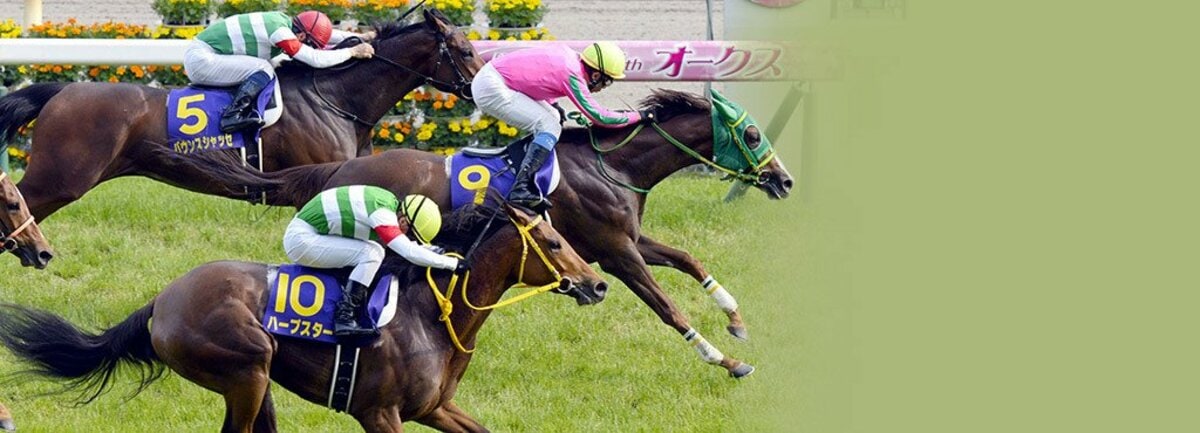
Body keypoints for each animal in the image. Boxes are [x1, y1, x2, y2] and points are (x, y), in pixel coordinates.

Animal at [0, 202, 607, 432]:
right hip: (247, 365)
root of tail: (162, 299)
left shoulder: (434, 408)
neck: (432, 318)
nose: (598, 284)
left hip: (257, 379)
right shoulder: (379, 413)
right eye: (555, 242)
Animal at [168, 89, 793, 378]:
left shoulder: (622, 243)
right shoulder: (617, 253)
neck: (612, 166)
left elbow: (689, 259)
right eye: (753, 134)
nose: (784, 180)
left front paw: (736, 321)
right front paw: (725, 360)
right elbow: (667, 306)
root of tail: (340, 170)